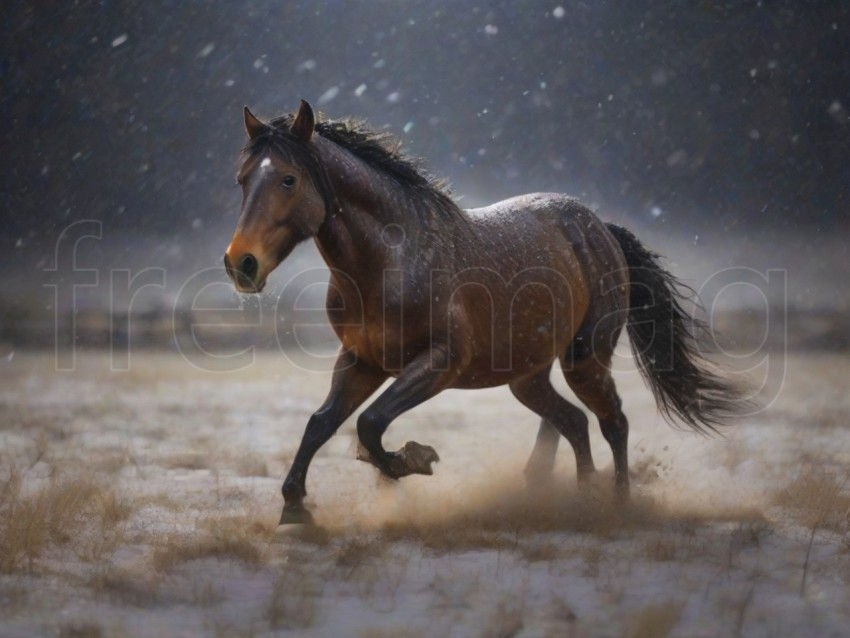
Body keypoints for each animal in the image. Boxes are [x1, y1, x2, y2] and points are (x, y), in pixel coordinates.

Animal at [220, 100, 744, 524]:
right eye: (242, 179)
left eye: (289, 179)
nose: (241, 264)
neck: (393, 259)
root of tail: (601, 228)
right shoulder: (361, 362)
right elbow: (321, 422)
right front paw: (294, 508)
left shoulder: (441, 363)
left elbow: (370, 423)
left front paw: (412, 459)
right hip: (527, 376)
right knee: (572, 422)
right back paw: (573, 497)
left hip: (584, 360)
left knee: (612, 421)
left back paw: (616, 506)